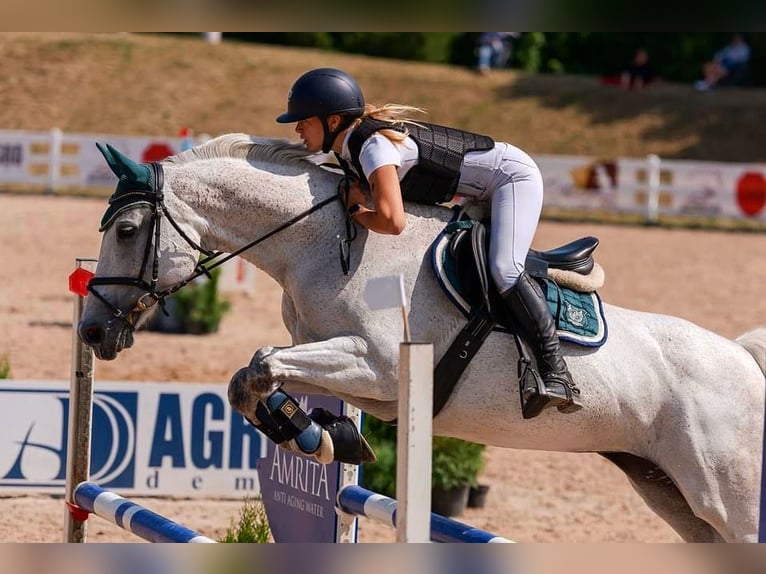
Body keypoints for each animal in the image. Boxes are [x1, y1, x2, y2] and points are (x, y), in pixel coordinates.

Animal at [77, 133, 766, 543]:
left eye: (130, 230)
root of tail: (745, 360)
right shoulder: (347, 368)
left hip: (729, 497)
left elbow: (260, 365)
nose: (92, 330)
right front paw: (325, 436)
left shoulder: (379, 365)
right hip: (673, 496)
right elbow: (255, 376)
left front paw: (316, 437)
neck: (322, 241)